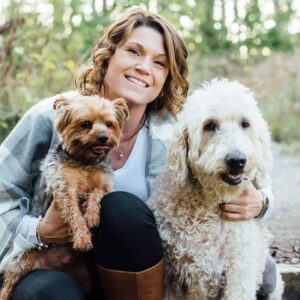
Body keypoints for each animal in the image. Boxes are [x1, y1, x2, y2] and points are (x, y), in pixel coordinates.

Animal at [0, 93, 129, 298]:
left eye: (109, 124)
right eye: (86, 124)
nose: (103, 137)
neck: (85, 161)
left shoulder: (105, 184)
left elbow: (96, 194)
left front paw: (92, 215)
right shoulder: (64, 189)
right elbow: (75, 215)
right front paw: (83, 239)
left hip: (85, 279)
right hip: (22, 261)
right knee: (8, 284)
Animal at [150, 78, 284, 298]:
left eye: (245, 123)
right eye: (210, 125)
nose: (237, 160)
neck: (211, 208)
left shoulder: (239, 270)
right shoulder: (172, 276)